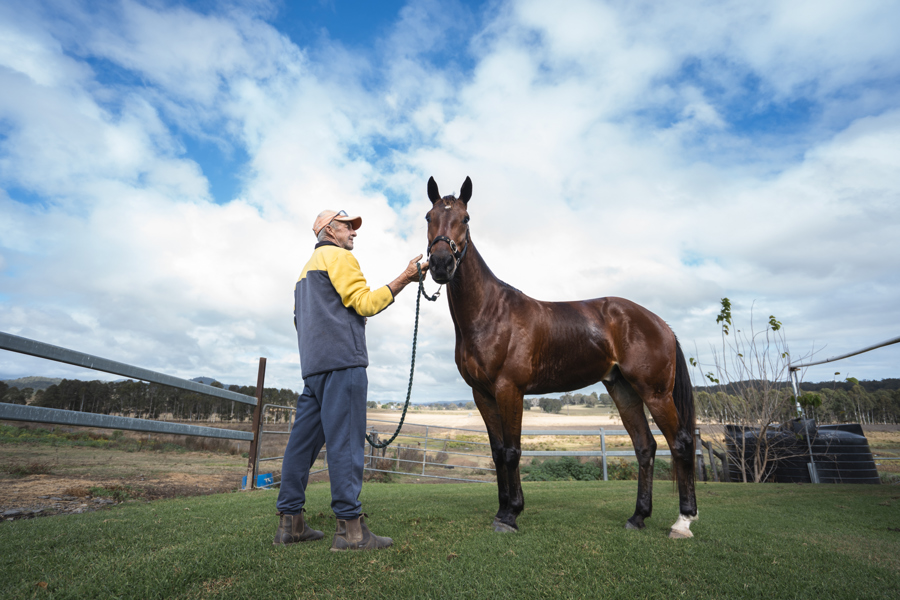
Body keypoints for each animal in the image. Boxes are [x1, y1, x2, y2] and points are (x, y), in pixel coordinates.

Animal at [424, 176, 698, 538]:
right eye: (428, 217)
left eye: (466, 219)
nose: (441, 264)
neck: (490, 313)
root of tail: (661, 324)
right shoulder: (482, 393)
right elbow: (497, 453)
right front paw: (501, 510)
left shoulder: (509, 389)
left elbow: (512, 451)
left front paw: (511, 514)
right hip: (623, 390)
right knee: (645, 447)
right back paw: (637, 516)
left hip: (655, 393)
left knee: (680, 443)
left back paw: (683, 521)